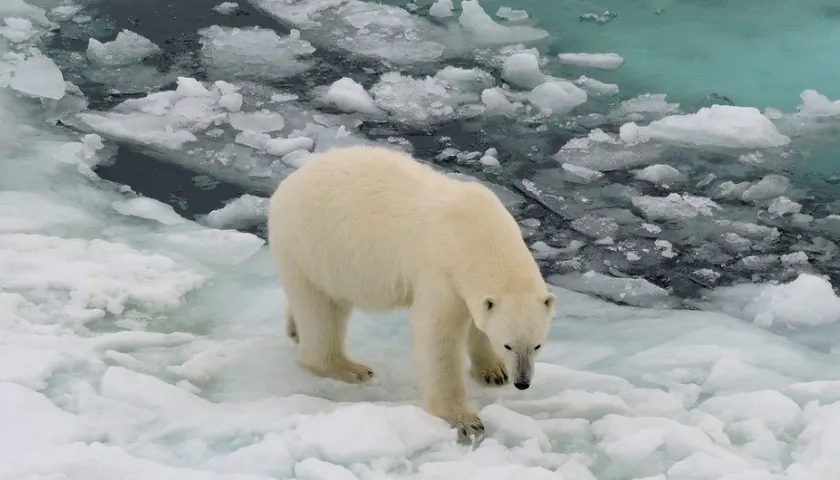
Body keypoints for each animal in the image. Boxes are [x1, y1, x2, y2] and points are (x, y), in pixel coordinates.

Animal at [270, 144, 556, 436]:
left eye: (537, 345)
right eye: (508, 345)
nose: (522, 382)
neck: (477, 232)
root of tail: (287, 184)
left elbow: (477, 321)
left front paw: (493, 371)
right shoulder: (440, 270)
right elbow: (436, 335)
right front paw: (464, 419)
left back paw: (294, 328)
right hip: (312, 245)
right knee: (321, 311)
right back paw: (348, 367)